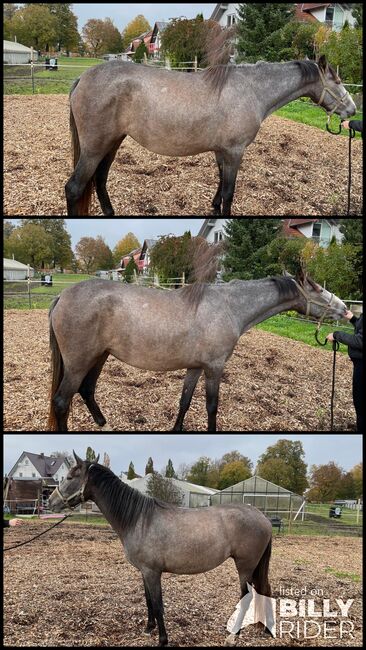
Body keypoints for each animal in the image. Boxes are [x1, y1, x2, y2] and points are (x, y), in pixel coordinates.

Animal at [48, 270, 346, 430]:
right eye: (317, 289)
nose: (344, 308)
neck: (229, 306)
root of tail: (63, 295)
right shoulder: (214, 367)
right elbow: (211, 406)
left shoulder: (195, 367)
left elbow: (185, 401)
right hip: (79, 362)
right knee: (62, 401)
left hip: (99, 356)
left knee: (87, 390)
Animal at [48, 454, 272, 644]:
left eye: (69, 477)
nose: (51, 501)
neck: (138, 519)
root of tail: (263, 517)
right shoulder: (145, 572)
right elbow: (148, 601)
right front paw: (149, 628)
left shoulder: (152, 572)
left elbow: (157, 604)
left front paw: (163, 639)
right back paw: (266, 629)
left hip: (244, 566)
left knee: (247, 597)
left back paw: (234, 635)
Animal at [66, 53, 354, 215]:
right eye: (338, 82)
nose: (352, 109)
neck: (252, 90)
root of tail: (82, 78)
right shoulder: (235, 152)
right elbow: (229, 192)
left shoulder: (222, 151)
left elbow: (220, 183)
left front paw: (213, 207)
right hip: (94, 148)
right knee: (74, 188)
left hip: (112, 143)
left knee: (100, 181)